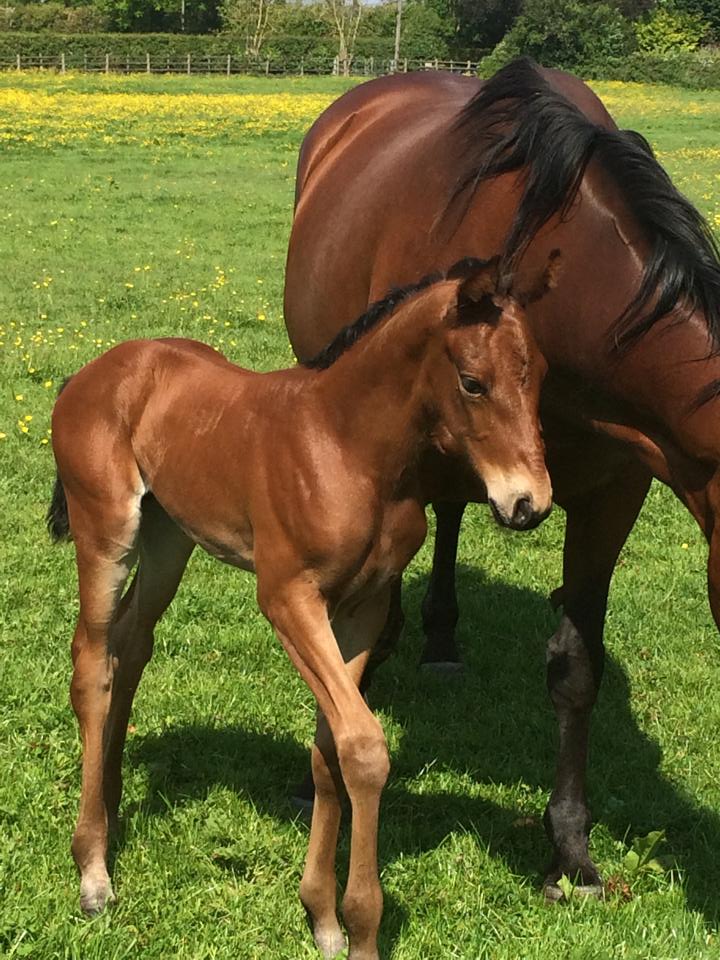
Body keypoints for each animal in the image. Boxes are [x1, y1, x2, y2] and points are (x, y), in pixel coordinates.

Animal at [50, 256, 556, 960]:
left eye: (542, 375)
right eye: (473, 383)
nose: (529, 504)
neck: (348, 449)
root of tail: (90, 372)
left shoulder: (363, 605)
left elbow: (329, 749)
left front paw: (321, 916)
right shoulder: (288, 598)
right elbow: (364, 749)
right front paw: (362, 926)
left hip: (168, 539)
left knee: (132, 643)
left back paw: (111, 801)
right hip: (105, 530)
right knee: (93, 660)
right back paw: (93, 869)